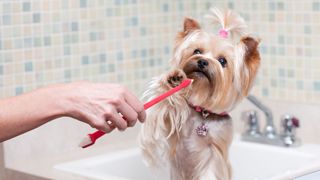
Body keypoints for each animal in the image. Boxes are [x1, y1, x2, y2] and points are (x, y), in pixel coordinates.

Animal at [139, 7, 262, 180]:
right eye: (197, 51)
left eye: (222, 61)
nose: (203, 61)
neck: (203, 113)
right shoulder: (170, 121)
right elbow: (164, 104)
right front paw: (173, 79)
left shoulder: (214, 153)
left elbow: (210, 170)